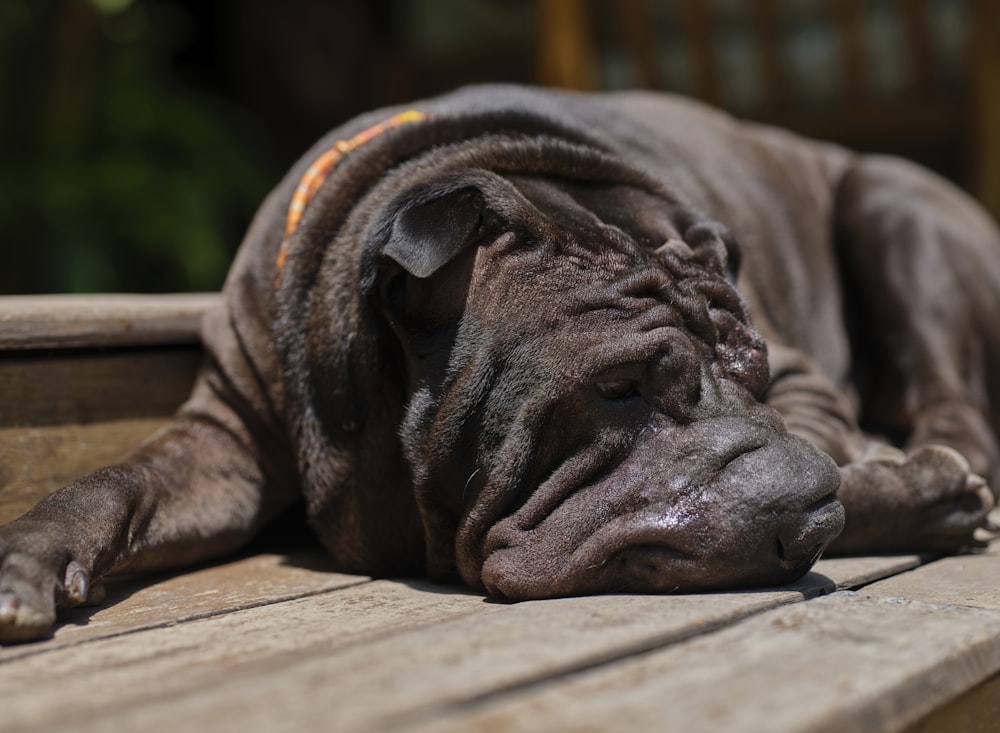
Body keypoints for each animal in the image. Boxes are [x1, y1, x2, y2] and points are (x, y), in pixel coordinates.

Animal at [1, 86, 1000, 640]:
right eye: (618, 388)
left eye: (751, 373)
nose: (803, 508)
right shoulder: (225, 442)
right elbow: (112, 481)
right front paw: (27, 558)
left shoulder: (801, 371)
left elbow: (831, 441)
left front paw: (909, 490)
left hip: (893, 202)